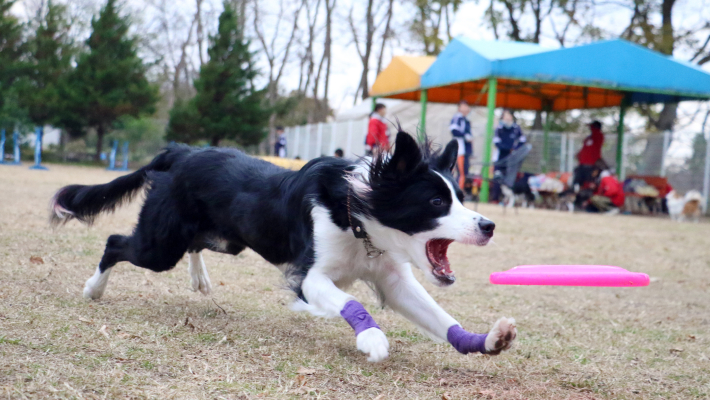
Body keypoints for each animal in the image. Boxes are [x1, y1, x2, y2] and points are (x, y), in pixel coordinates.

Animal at [50, 132, 516, 362]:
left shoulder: (393, 278)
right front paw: (372, 339)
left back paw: (200, 279)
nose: (489, 225)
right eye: (437, 202)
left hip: (225, 239)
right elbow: (350, 303)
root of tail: (181, 151)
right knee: (116, 243)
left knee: (195, 244)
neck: (356, 216)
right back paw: (93, 289)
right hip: (160, 245)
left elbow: (440, 317)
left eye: (460, 196)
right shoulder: (310, 276)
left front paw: (486, 341)